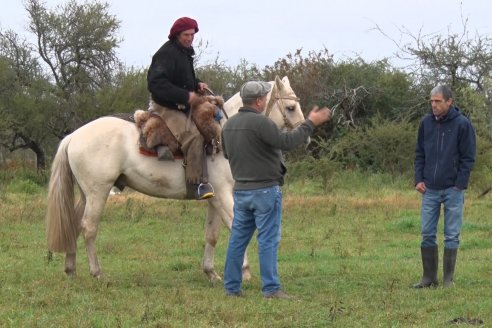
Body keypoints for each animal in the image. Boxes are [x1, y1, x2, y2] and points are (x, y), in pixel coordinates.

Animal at [47, 75, 308, 280]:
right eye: (291, 108)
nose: (304, 137)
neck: (226, 135)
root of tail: (73, 136)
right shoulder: (224, 194)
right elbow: (236, 226)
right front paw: (243, 270)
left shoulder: (215, 198)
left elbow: (212, 235)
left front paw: (210, 272)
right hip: (98, 192)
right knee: (89, 227)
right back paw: (97, 272)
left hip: (86, 194)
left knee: (74, 224)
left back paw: (70, 269)